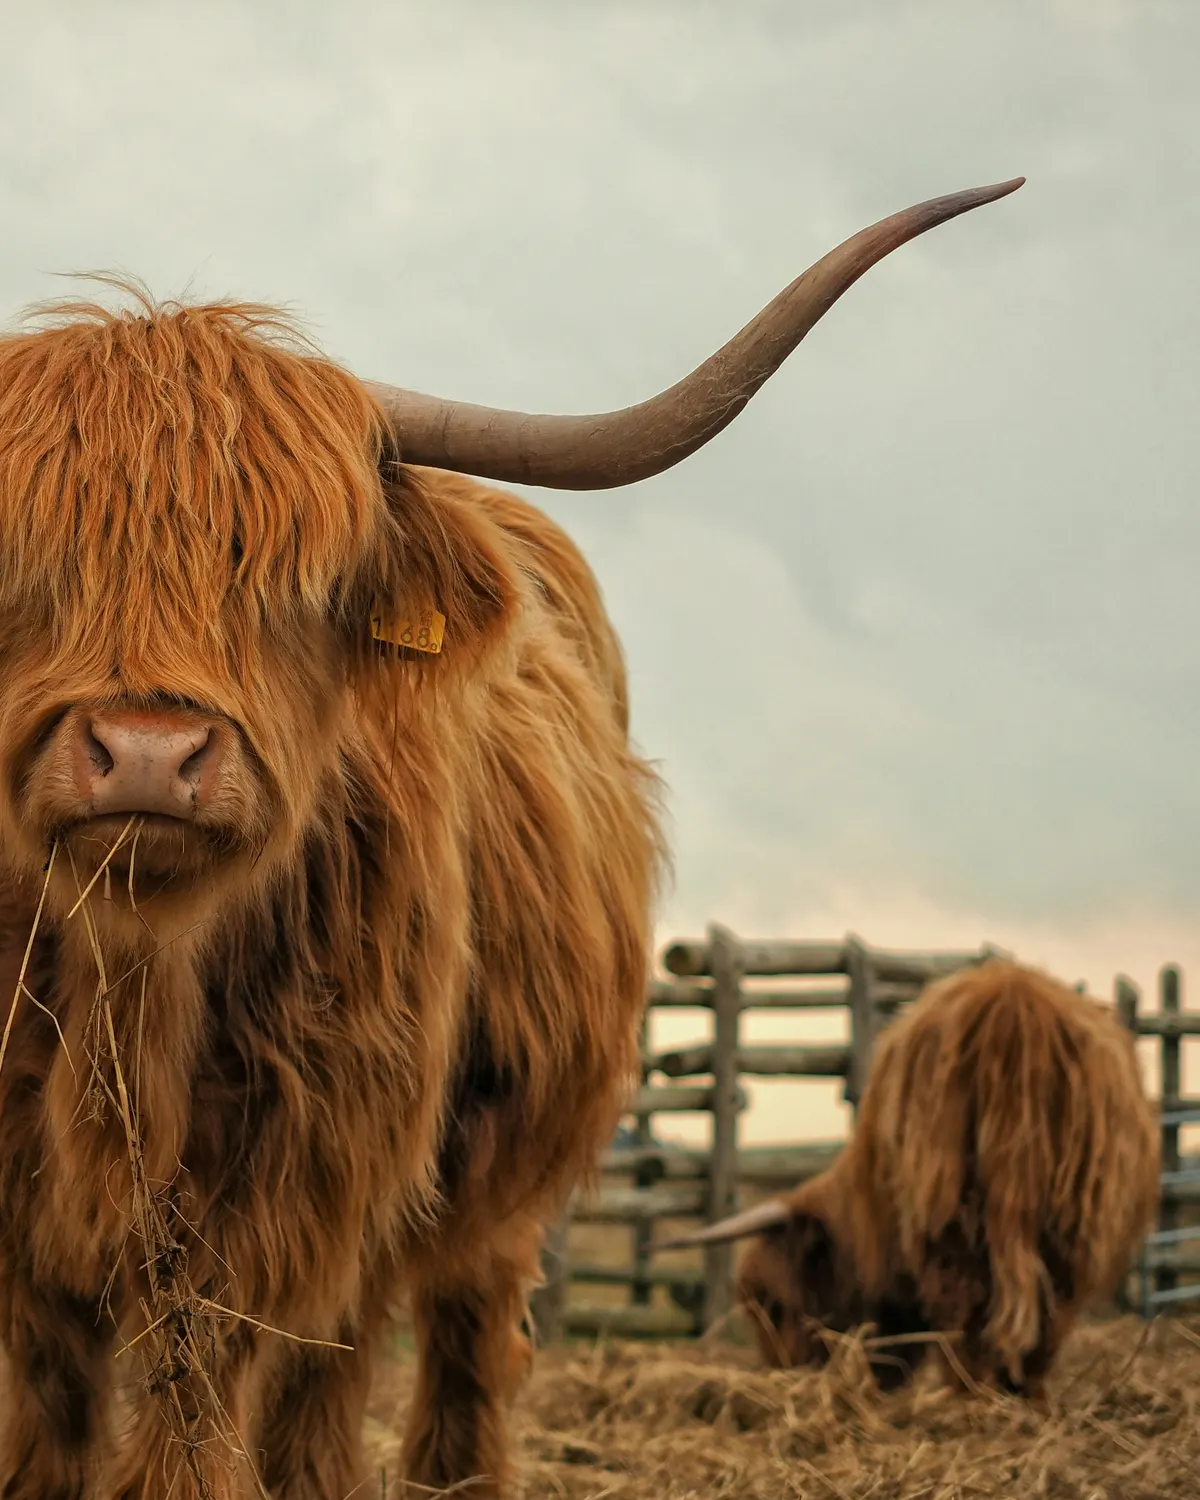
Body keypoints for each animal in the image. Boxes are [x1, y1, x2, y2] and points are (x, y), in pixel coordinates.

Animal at [0, 178, 1022, 1499]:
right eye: (23, 567)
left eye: (292, 584)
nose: (145, 753)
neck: (137, 986)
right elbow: (51, 1412)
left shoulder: (288, 1187)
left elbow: (205, 1403)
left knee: (433, 1349)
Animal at [668, 959, 1160, 1404]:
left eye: (771, 1302)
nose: (781, 1371)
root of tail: (1013, 1004)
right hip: (1071, 1216)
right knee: (1050, 1306)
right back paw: (1021, 1392)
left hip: (950, 1212)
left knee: (968, 1304)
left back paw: (968, 1391)